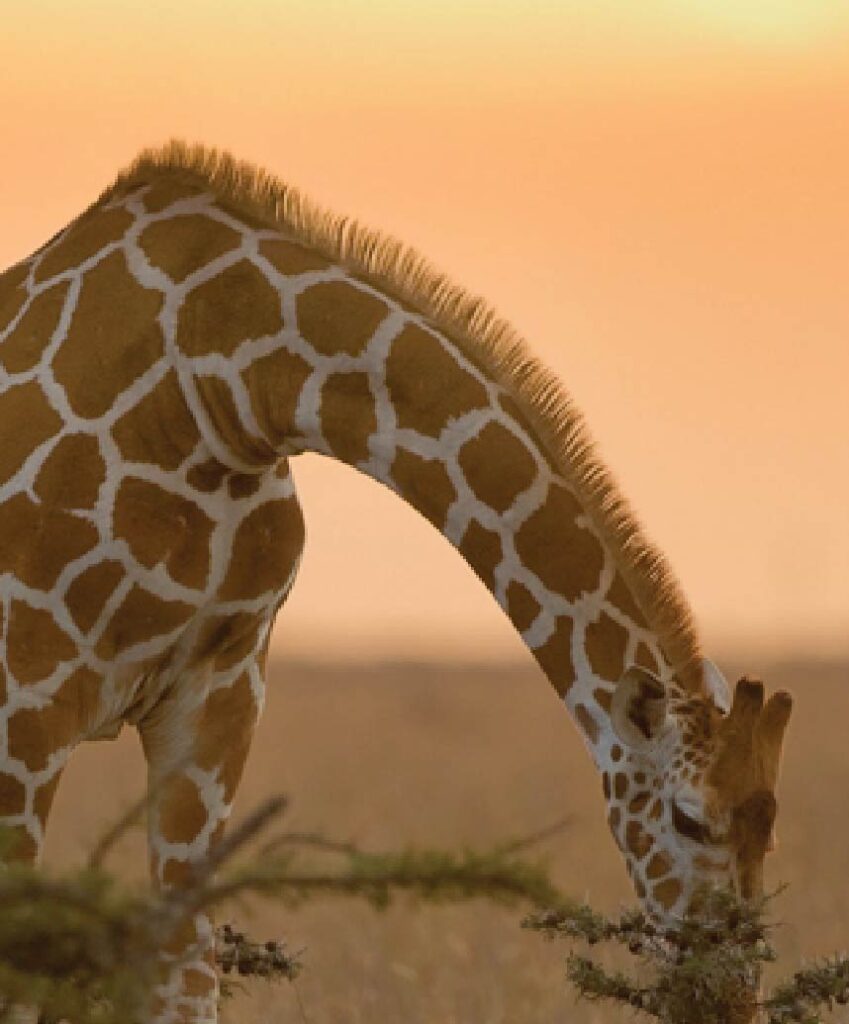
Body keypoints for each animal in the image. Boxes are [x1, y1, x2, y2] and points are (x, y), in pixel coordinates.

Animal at [0, 141, 791, 1023]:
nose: (726, 999)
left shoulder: (216, 693)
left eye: (769, 825)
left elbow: (186, 976)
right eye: (688, 819)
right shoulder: (26, 699)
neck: (227, 383)